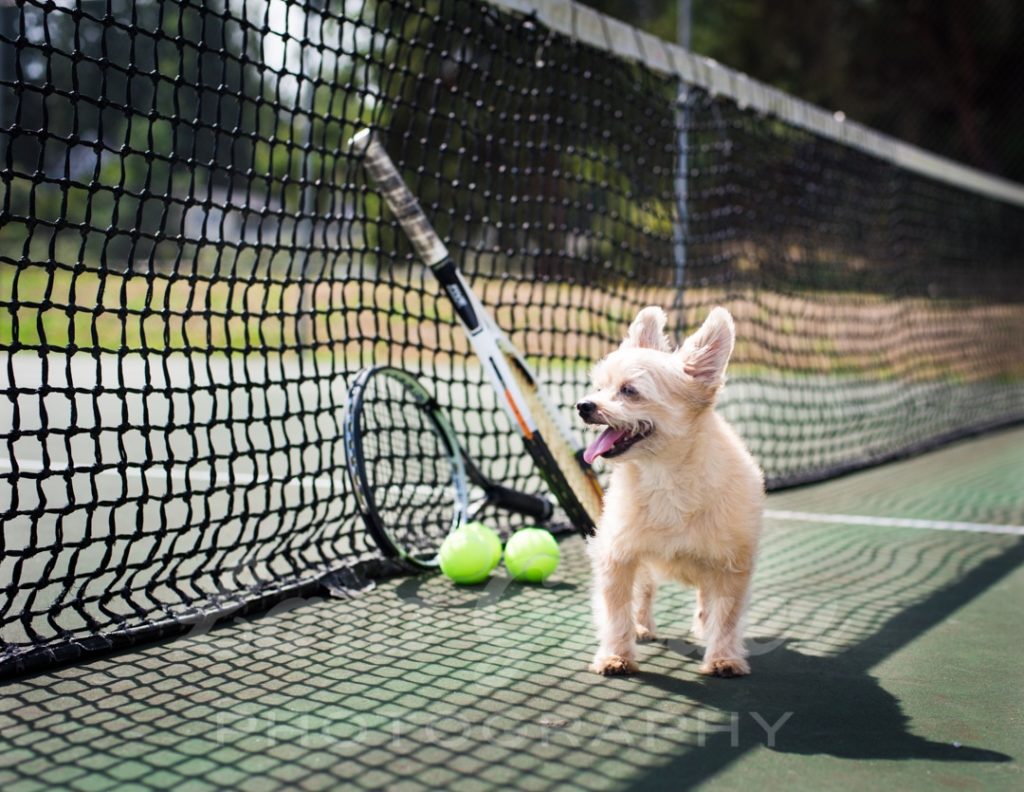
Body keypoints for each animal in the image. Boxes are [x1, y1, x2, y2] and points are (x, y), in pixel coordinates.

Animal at [577, 305, 761, 676]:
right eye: (600, 387)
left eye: (629, 391)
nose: (583, 405)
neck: (665, 476)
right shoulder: (618, 557)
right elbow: (616, 612)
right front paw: (616, 654)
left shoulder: (732, 565)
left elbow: (728, 616)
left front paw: (723, 657)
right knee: (645, 593)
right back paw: (642, 626)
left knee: (706, 598)